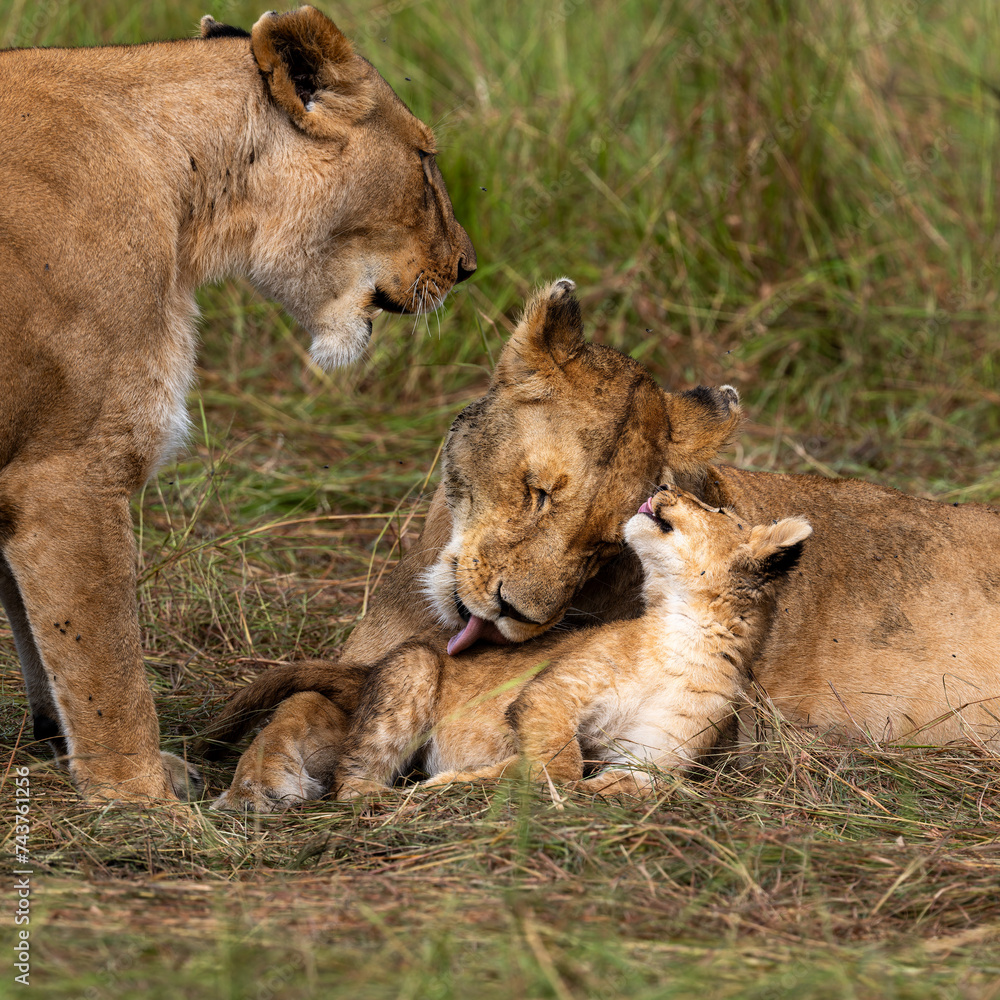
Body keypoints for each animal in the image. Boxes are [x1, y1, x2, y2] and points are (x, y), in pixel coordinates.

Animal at [0, 6, 476, 804]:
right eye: (424, 158)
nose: (468, 268)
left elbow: (45, 644)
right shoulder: (66, 469)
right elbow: (104, 660)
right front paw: (140, 795)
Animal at [206, 278, 1000, 808]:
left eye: (602, 541)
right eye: (537, 491)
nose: (513, 614)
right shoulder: (370, 667)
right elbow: (299, 701)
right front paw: (258, 781)